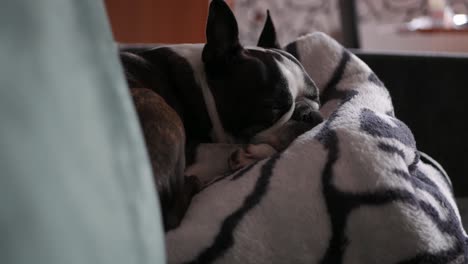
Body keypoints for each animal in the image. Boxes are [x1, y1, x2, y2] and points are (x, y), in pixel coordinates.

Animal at [119, 0, 322, 231]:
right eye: (273, 107)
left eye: (316, 97)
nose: (310, 114)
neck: (202, 86)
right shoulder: (193, 150)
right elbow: (226, 150)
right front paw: (251, 155)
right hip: (155, 103)